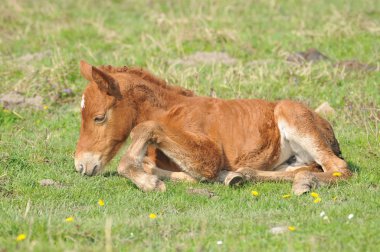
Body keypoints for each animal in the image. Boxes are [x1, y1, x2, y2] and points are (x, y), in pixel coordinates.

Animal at [75, 61, 352, 195]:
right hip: (289, 159)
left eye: (99, 117)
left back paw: (304, 184)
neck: (171, 111)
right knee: (299, 169)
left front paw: (148, 184)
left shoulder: (209, 155)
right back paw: (238, 176)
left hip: (294, 117)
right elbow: (154, 164)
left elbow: (145, 128)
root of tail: (327, 128)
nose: (80, 165)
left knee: (338, 168)